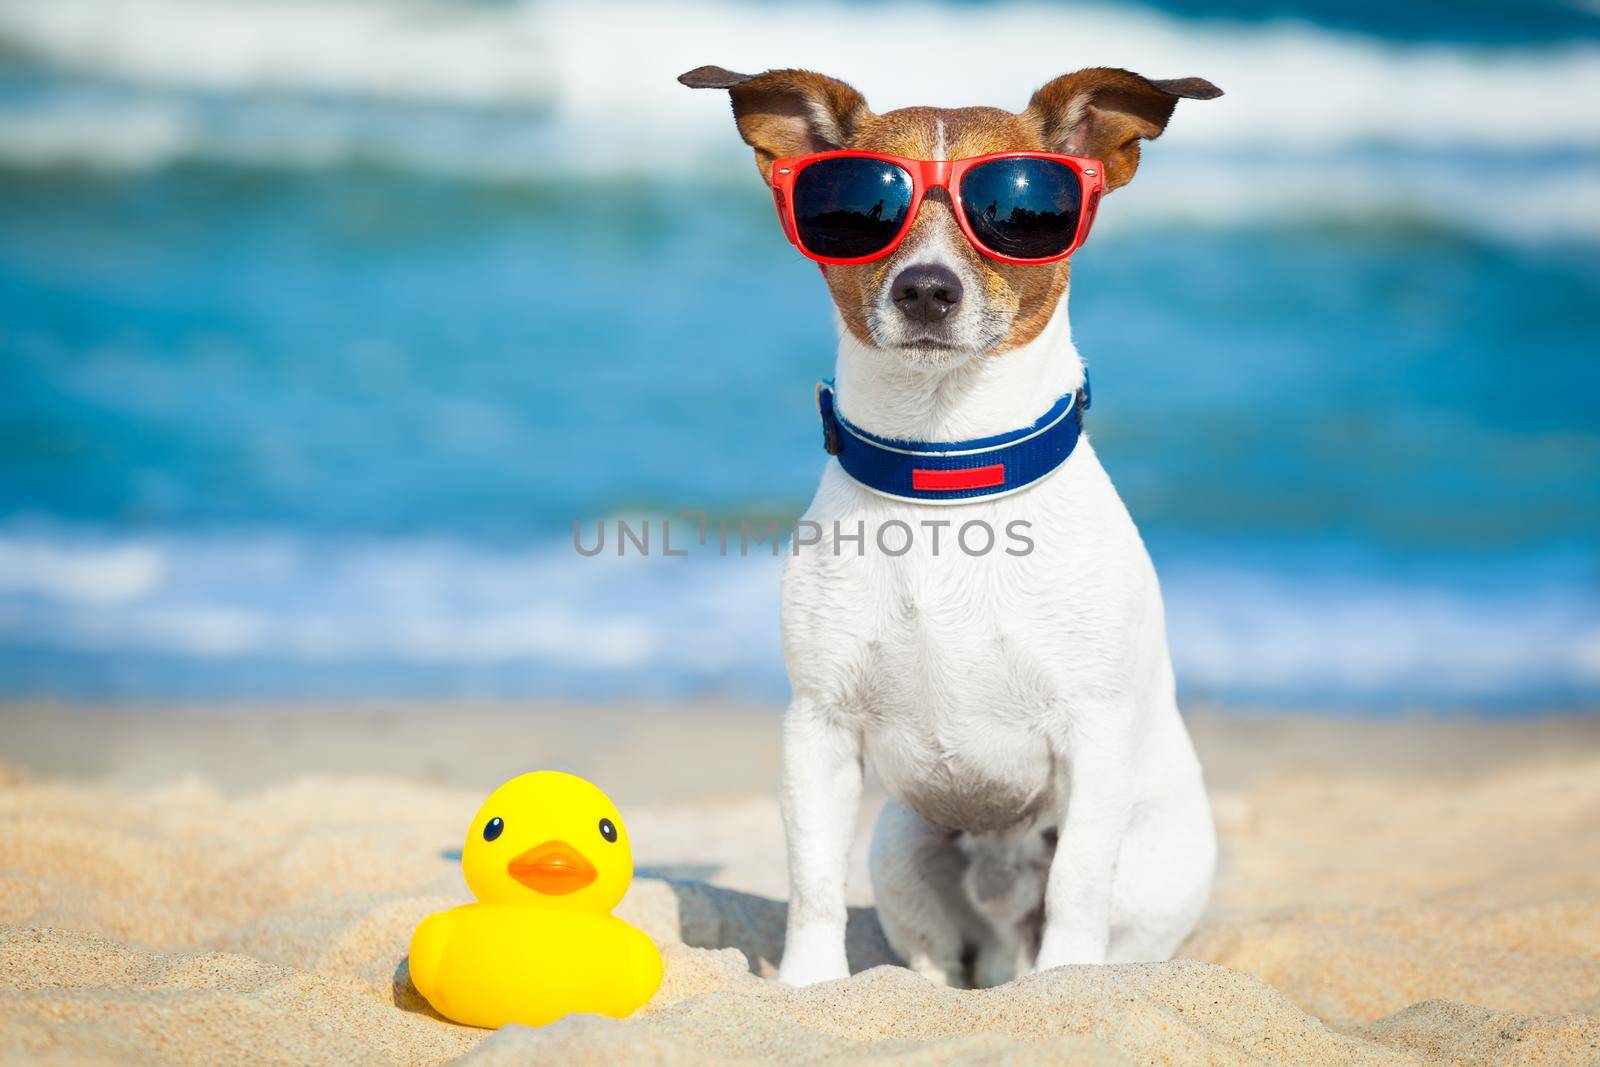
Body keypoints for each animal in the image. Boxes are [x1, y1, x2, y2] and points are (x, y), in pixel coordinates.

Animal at [681, 64, 1216, 985]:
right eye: (859, 210)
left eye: (1020, 213)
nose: (927, 289)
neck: (946, 473)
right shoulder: (817, 727)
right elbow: (811, 880)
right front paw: (809, 987)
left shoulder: (1094, 735)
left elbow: (1077, 883)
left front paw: (1065, 989)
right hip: (900, 843)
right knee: (932, 961)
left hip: (1154, 869)